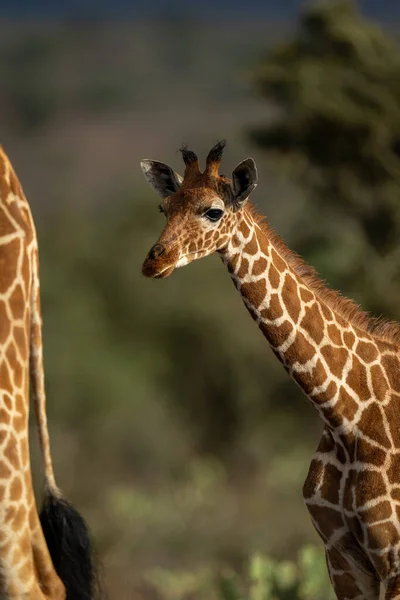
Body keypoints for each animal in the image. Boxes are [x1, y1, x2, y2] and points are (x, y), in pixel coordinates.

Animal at [141, 142, 400, 600]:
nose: (155, 262)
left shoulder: (394, 562)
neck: (347, 413)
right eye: (164, 207)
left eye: (213, 211)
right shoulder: (342, 559)